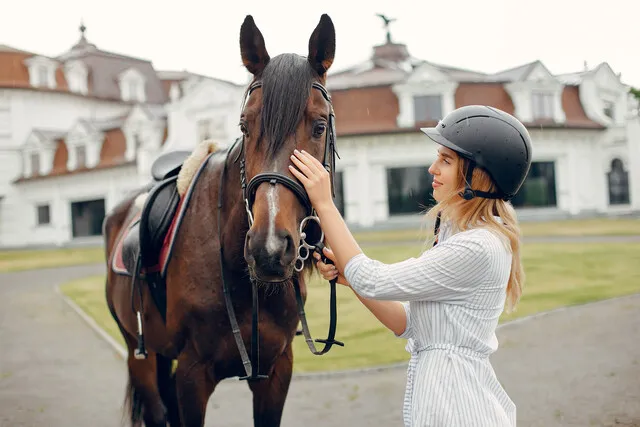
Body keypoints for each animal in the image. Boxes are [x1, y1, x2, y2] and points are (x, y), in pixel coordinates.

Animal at [105, 13, 342, 427]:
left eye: (319, 126)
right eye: (245, 126)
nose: (269, 249)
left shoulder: (276, 371)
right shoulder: (192, 374)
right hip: (140, 352)